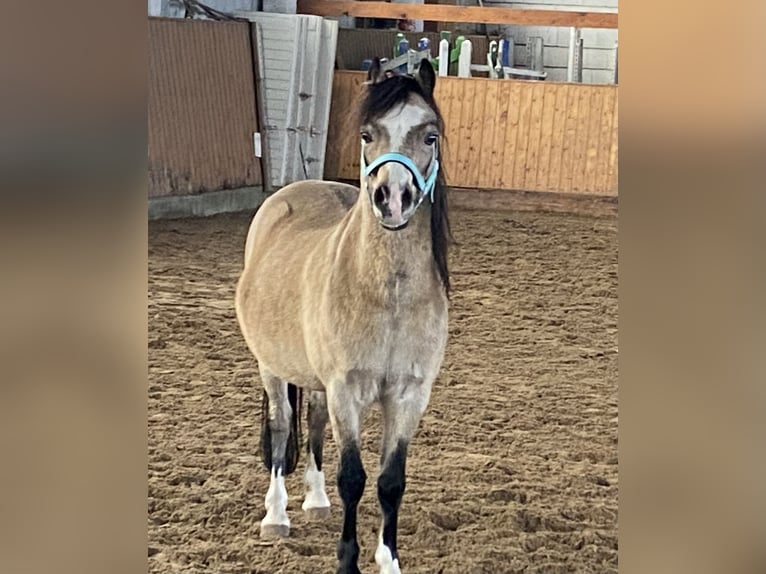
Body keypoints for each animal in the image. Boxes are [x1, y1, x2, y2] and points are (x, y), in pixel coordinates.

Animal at [235, 57, 451, 574]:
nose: (393, 197)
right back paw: (277, 516)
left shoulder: (409, 396)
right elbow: (353, 477)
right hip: (272, 368)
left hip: (314, 380)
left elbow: (391, 482)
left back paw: (315, 501)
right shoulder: (346, 391)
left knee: (312, 421)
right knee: (281, 428)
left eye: (429, 136)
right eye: (367, 134)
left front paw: (389, 560)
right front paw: (347, 562)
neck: (389, 296)